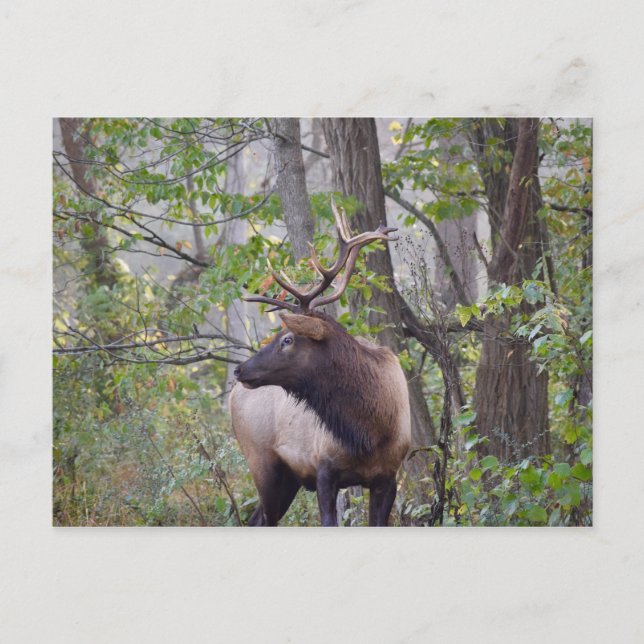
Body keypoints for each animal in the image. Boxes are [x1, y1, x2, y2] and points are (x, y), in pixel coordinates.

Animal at [229, 199, 411, 526]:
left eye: (288, 339)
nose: (239, 369)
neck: (370, 432)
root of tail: (230, 397)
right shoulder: (324, 470)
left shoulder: (389, 477)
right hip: (262, 463)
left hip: (286, 479)